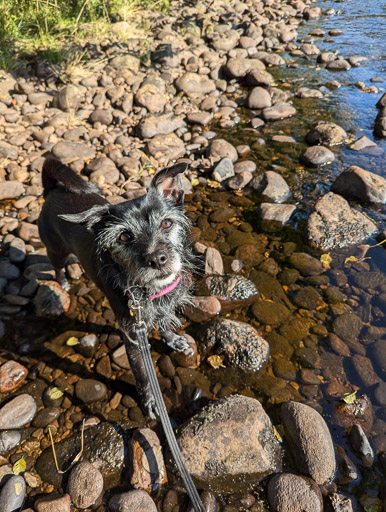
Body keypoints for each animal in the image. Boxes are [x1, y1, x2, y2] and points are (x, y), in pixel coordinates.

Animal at [39, 158, 193, 418]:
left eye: (167, 223)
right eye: (124, 236)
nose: (157, 259)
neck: (146, 291)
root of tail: (54, 189)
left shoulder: (162, 307)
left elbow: (164, 324)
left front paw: (173, 340)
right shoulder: (132, 336)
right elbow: (141, 373)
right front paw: (150, 401)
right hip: (55, 249)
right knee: (57, 266)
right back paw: (63, 282)